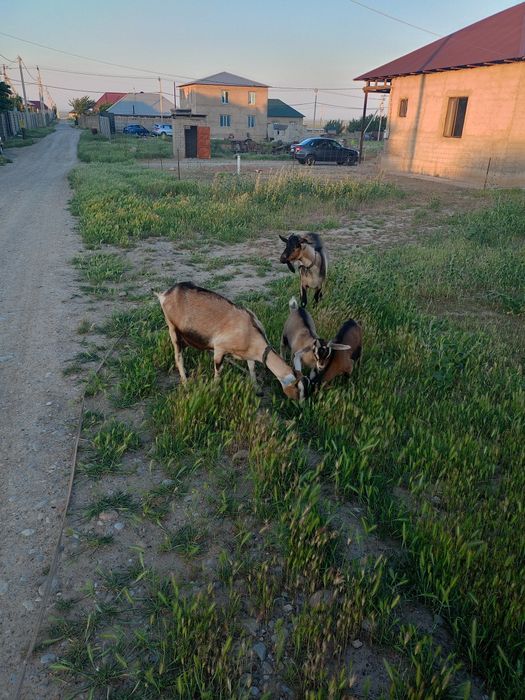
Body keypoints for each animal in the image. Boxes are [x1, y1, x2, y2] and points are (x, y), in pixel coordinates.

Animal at [157, 282, 308, 401]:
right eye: (298, 389)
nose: (301, 406)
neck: (250, 331)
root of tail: (166, 294)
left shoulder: (249, 353)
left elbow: (251, 368)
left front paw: (257, 389)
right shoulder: (219, 349)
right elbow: (218, 371)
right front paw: (214, 390)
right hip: (173, 330)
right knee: (178, 357)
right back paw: (186, 383)